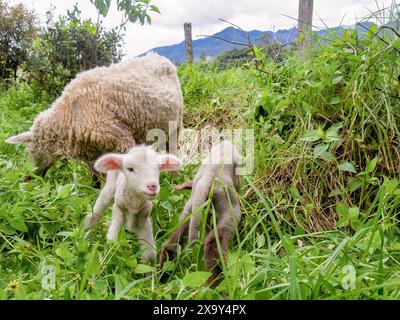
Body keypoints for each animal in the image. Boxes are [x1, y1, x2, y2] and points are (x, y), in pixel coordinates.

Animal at [5, 52, 183, 182]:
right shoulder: (91, 153)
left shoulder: (122, 139)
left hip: (175, 125)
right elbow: (97, 178)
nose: (28, 179)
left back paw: (174, 180)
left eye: (31, 152)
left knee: (173, 150)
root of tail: (160, 58)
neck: (69, 115)